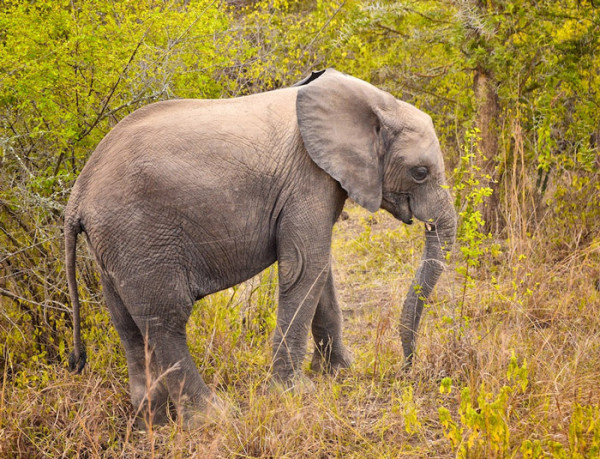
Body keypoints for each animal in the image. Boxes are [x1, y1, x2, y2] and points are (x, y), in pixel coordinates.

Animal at [65, 68, 458, 428]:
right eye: (420, 173)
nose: (406, 367)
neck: (375, 102)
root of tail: (78, 194)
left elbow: (320, 272)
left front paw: (340, 373)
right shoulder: (307, 180)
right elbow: (305, 268)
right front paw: (295, 394)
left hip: (114, 247)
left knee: (127, 324)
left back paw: (154, 422)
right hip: (140, 236)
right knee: (166, 321)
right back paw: (215, 418)